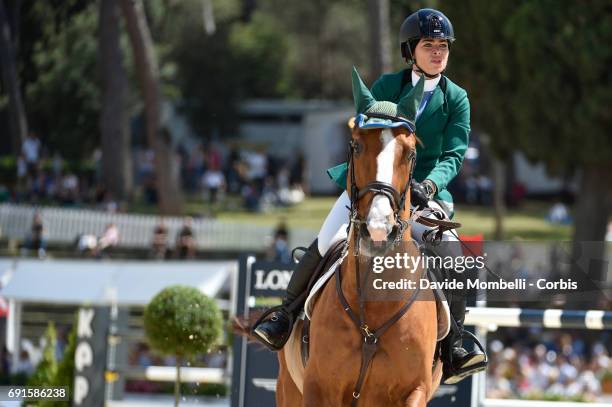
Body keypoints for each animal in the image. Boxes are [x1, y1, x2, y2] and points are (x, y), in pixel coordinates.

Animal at [274, 68, 442, 406]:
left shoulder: (415, 390)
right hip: (288, 388)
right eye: (355, 146)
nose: (377, 228)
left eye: (411, 153)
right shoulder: (318, 388)